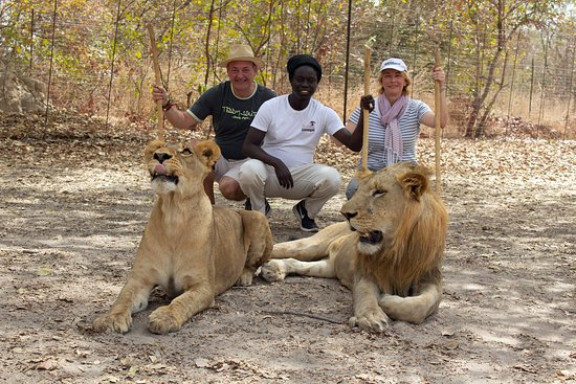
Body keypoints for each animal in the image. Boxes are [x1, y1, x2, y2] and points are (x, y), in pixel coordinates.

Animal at [93, 140, 274, 334]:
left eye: (186, 151)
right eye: (156, 151)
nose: (160, 156)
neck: (174, 215)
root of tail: (234, 210)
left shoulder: (203, 286)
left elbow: (181, 301)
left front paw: (165, 317)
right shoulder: (141, 279)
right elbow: (123, 298)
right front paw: (110, 318)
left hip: (256, 217)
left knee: (252, 264)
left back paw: (243, 277)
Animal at [258, 163, 448, 332]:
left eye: (379, 192)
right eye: (358, 190)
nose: (345, 213)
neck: (397, 249)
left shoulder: (431, 277)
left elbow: (424, 304)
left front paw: (387, 301)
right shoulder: (366, 272)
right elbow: (366, 295)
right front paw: (371, 316)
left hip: (329, 267)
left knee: (300, 263)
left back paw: (274, 269)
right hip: (310, 246)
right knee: (282, 248)